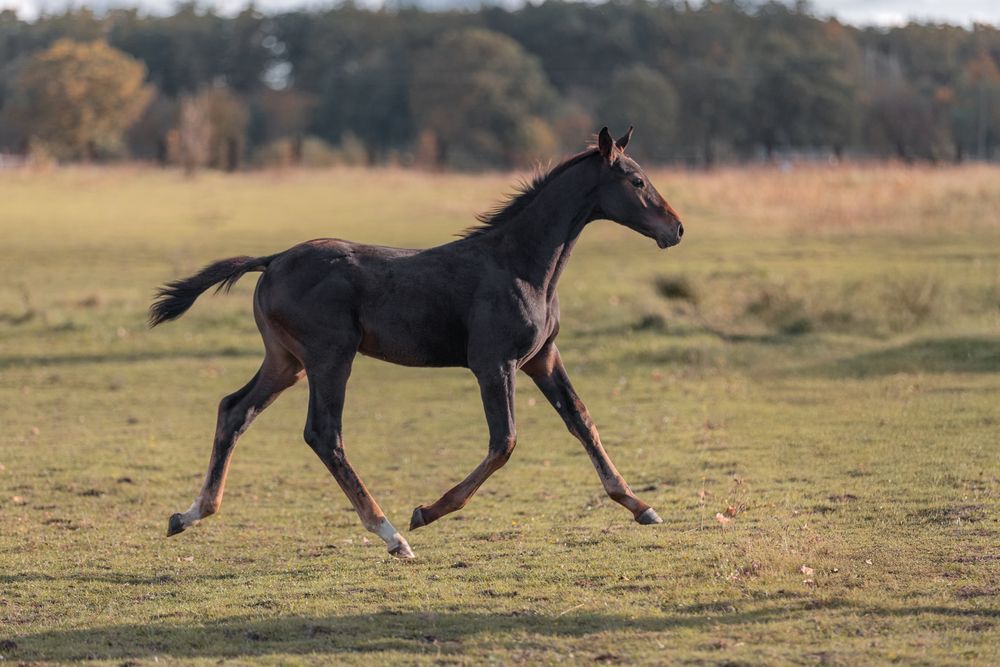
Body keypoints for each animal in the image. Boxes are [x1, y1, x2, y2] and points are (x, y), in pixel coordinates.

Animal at [150, 127, 684, 559]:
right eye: (636, 181)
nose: (676, 228)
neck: (519, 264)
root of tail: (274, 258)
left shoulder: (542, 358)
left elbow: (582, 420)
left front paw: (640, 506)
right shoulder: (494, 363)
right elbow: (504, 442)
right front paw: (427, 511)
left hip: (286, 361)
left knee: (234, 410)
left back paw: (189, 514)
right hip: (330, 358)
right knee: (324, 433)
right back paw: (391, 534)